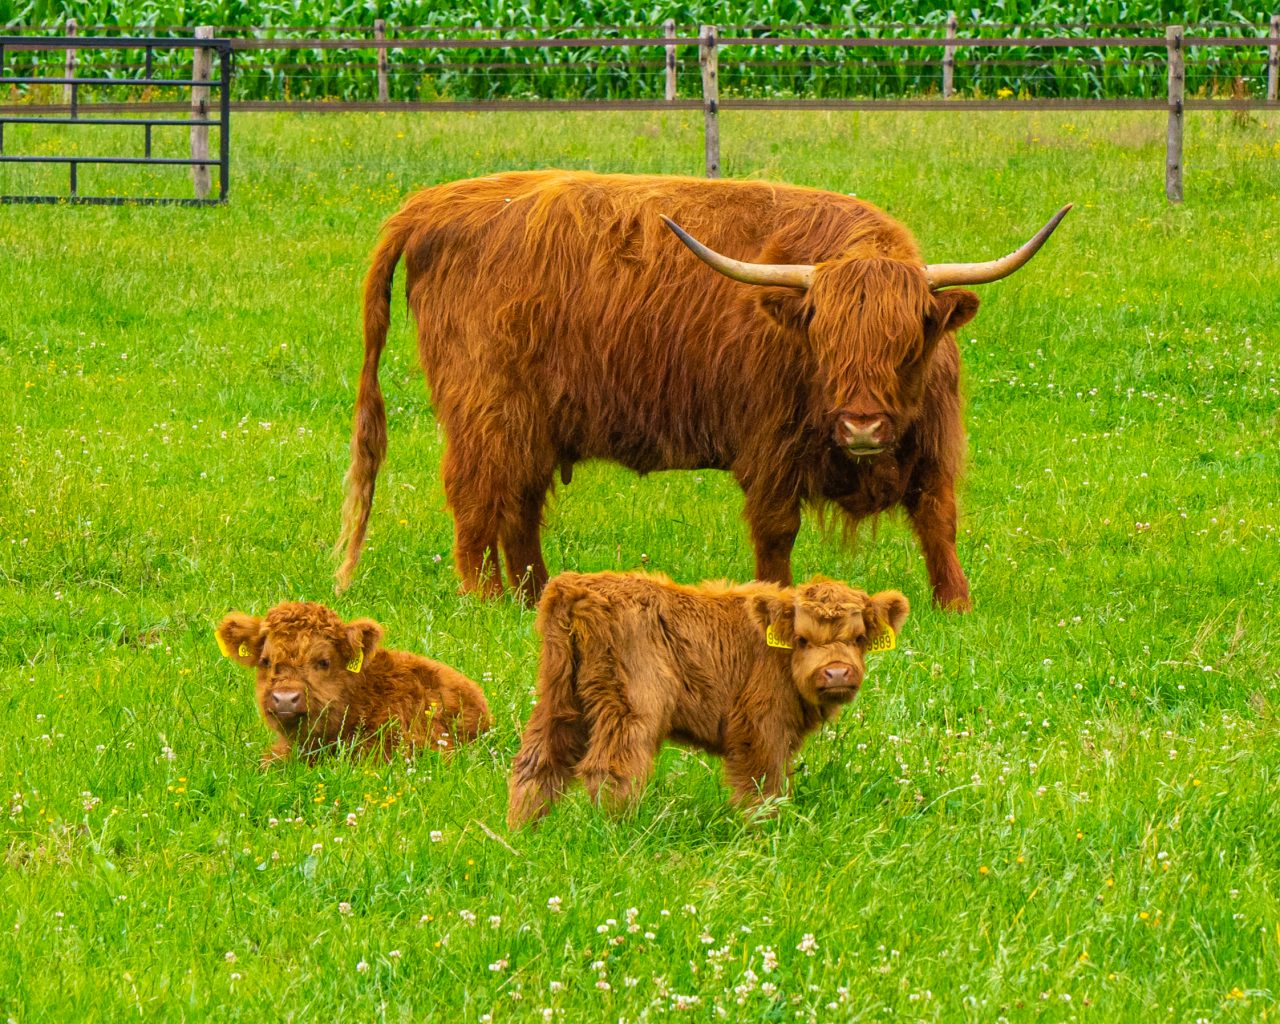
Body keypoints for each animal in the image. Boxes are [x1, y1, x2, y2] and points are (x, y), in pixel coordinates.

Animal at [332, 167, 1070, 609]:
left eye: (907, 342)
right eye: (823, 339)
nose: (862, 426)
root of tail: (434, 202)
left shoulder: (932, 447)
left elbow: (938, 523)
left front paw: (955, 606)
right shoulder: (770, 447)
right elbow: (776, 532)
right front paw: (777, 604)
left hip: (533, 424)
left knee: (519, 506)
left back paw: (536, 595)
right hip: (488, 409)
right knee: (478, 499)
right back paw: (487, 601)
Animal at [504, 570, 906, 829]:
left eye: (858, 637)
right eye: (802, 639)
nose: (836, 673)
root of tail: (577, 586)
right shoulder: (759, 727)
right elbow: (764, 788)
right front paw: (764, 836)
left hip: (560, 698)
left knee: (536, 763)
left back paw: (524, 832)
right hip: (631, 705)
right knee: (611, 768)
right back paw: (617, 834)